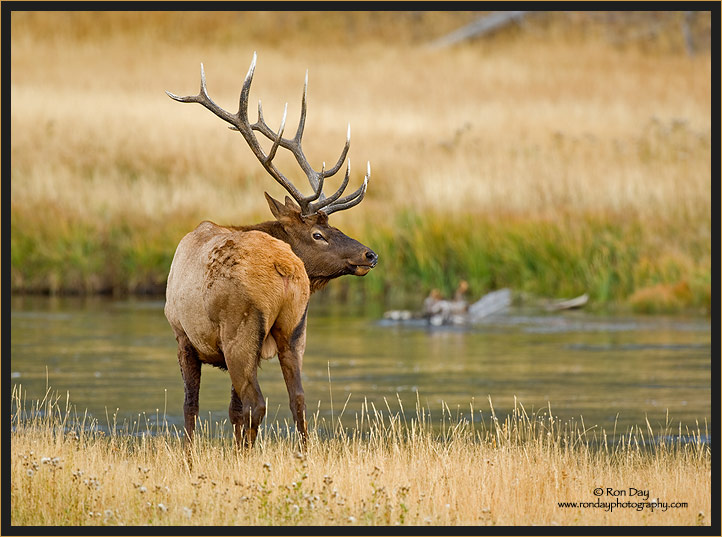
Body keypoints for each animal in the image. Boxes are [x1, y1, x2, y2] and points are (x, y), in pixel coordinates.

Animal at [164, 53, 376, 448]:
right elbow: (232, 409)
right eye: (319, 234)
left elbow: (191, 406)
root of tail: (285, 269)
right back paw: (302, 452)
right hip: (296, 329)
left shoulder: (182, 335)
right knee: (298, 398)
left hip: (240, 331)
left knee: (256, 403)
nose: (370, 255)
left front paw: (188, 454)